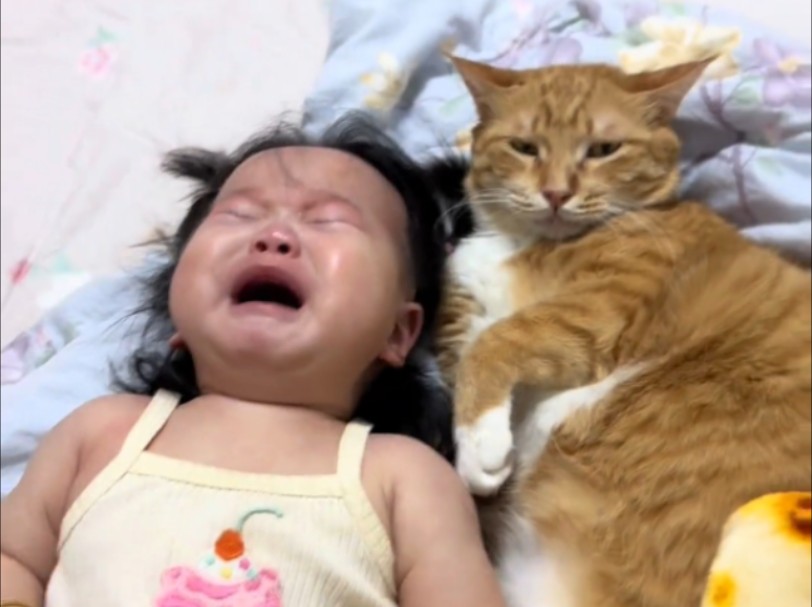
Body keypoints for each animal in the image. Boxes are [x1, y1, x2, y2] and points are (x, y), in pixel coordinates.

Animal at [435, 55, 812, 607]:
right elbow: (468, 355)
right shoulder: (461, 321)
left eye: (602, 150)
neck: (521, 243)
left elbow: (499, 339)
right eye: (525, 147)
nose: (556, 192)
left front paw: (479, 444)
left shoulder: (599, 312)